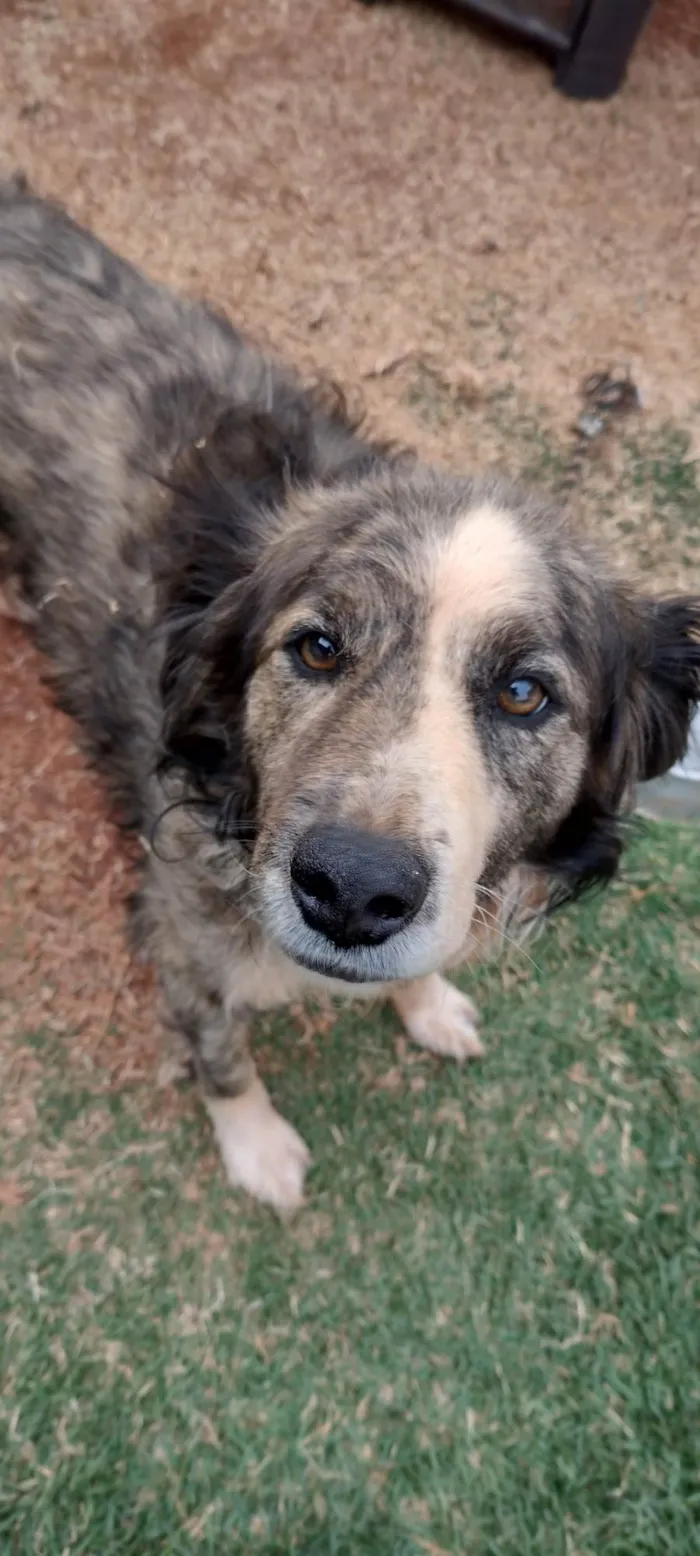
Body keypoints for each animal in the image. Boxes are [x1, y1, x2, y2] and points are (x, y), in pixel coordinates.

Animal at [1, 176, 700, 1207]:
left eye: (524, 692)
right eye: (319, 647)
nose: (353, 893)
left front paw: (429, 1003)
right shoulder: (178, 929)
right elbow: (220, 1054)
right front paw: (255, 1146)